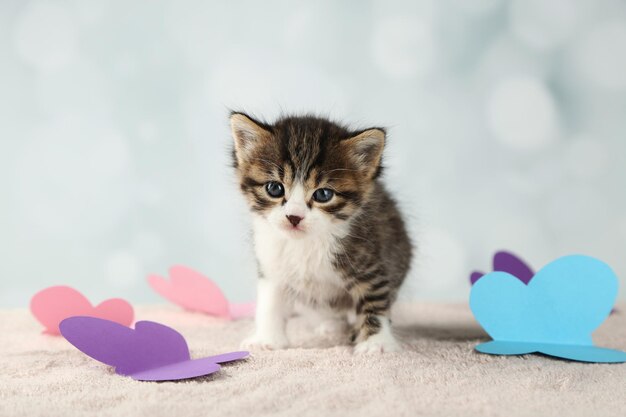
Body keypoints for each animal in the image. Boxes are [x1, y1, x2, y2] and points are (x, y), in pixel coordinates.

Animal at [228, 112, 410, 352]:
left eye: (323, 194)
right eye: (274, 188)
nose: (294, 217)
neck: (305, 243)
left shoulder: (370, 260)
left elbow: (375, 299)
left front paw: (376, 342)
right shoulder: (272, 263)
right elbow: (270, 302)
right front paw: (266, 339)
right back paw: (333, 326)